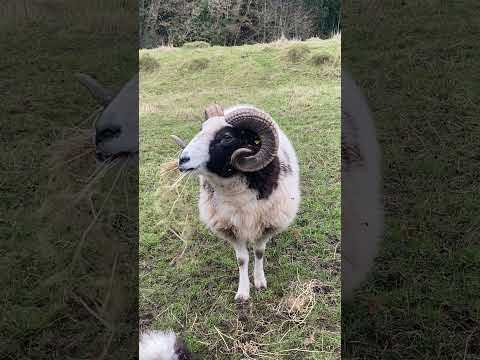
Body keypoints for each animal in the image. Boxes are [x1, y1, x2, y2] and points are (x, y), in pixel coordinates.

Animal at [178, 104, 300, 300]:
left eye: (227, 137)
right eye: (201, 129)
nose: (182, 160)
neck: (237, 197)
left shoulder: (266, 225)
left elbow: (259, 252)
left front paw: (259, 281)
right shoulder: (231, 229)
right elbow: (242, 259)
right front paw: (243, 292)